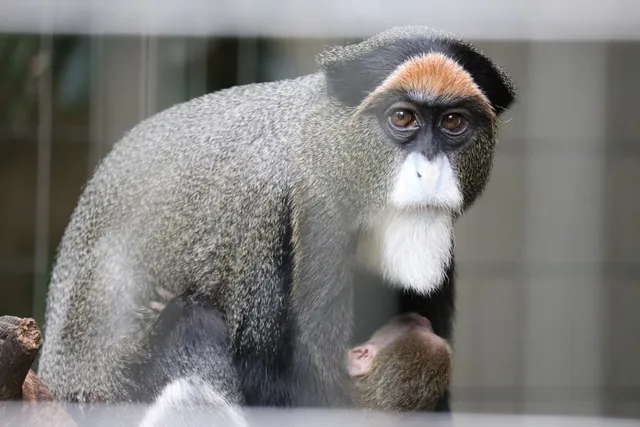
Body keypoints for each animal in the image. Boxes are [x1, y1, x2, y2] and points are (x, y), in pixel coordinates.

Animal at [37, 25, 516, 423]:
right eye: (403, 118)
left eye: (453, 121)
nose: (428, 173)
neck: (329, 146)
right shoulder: (288, 218)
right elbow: (276, 382)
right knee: (191, 324)